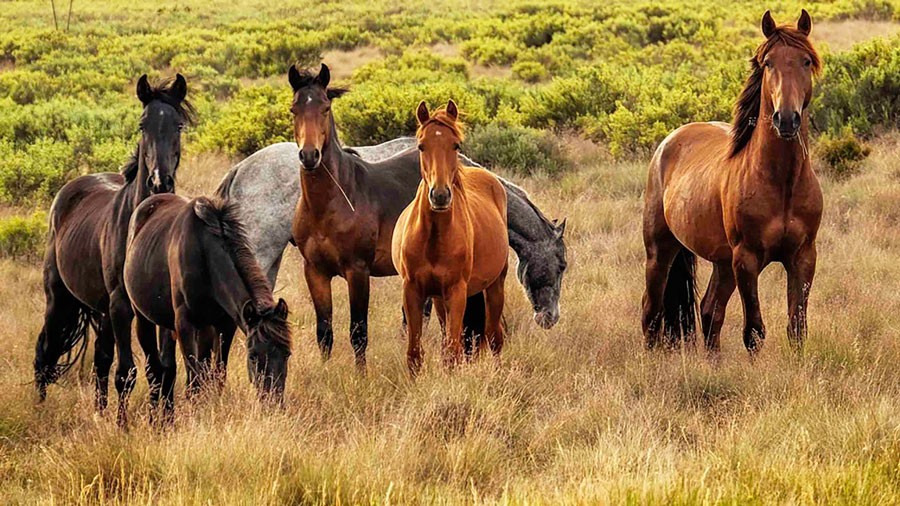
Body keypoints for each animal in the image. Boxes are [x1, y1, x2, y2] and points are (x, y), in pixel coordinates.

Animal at [123, 194, 290, 416]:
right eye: (253, 356)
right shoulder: (185, 324)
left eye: (287, 354)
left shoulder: (225, 325)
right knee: (155, 371)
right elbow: (194, 381)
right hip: (144, 319)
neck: (205, 255)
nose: (274, 403)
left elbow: (217, 375)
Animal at [392, 101, 510, 374]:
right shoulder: (413, 290)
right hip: (438, 298)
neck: (433, 238)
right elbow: (414, 353)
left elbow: (452, 352)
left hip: (495, 286)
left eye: (455, 144)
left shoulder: (457, 292)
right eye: (421, 145)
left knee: (494, 337)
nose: (440, 195)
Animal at [640, 9, 824, 354]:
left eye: (806, 61)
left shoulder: (803, 257)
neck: (782, 183)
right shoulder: (747, 260)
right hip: (660, 250)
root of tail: (669, 142)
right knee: (651, 312)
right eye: (768, 63)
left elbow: (797, 328)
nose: (786, 119)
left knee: (709, 310)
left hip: (722, 263)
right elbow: (754, 331)